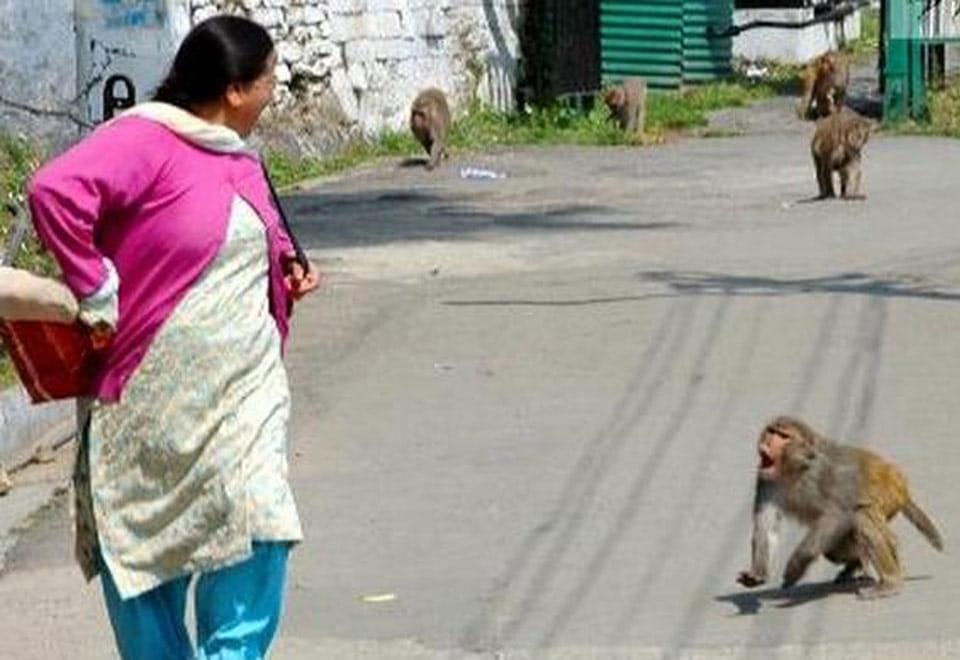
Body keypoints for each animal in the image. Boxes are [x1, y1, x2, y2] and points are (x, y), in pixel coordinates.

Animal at [737, 416, 943, 599]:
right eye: (771, 431)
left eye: (783, 436)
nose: (768, 441)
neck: (795, 469)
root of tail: (899, 481)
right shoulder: (766, 480)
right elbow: (767, 527)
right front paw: (757, 573)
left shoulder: (824, 473)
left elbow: (838, 512)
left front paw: (796, 565)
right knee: (833, 549)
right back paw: (856, 565)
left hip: (889, 494)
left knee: (861, 515)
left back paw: (890, 581)